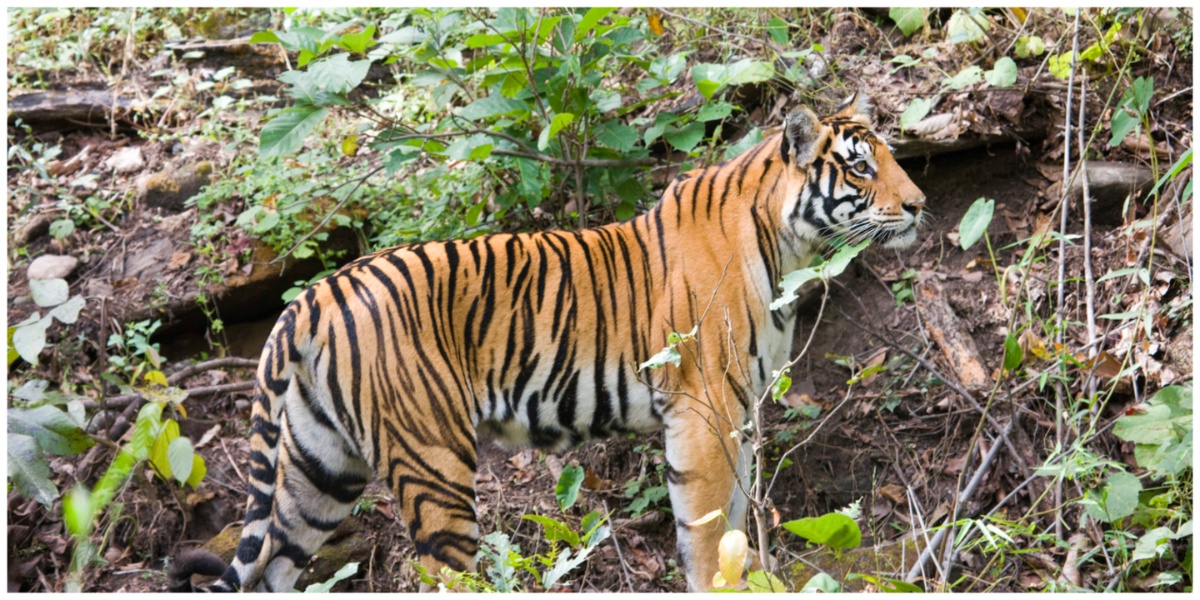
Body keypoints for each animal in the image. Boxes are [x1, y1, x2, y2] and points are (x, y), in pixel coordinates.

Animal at [168, 91, 925, 592]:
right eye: (860, 167)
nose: (919, 205)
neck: (789, 246)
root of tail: (312, 296)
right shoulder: (704, 408)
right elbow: (708, 527)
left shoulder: (741, 410)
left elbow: (737, 519)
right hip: (432, 463)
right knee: (440, 571)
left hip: (318, 471)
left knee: (273, 566)